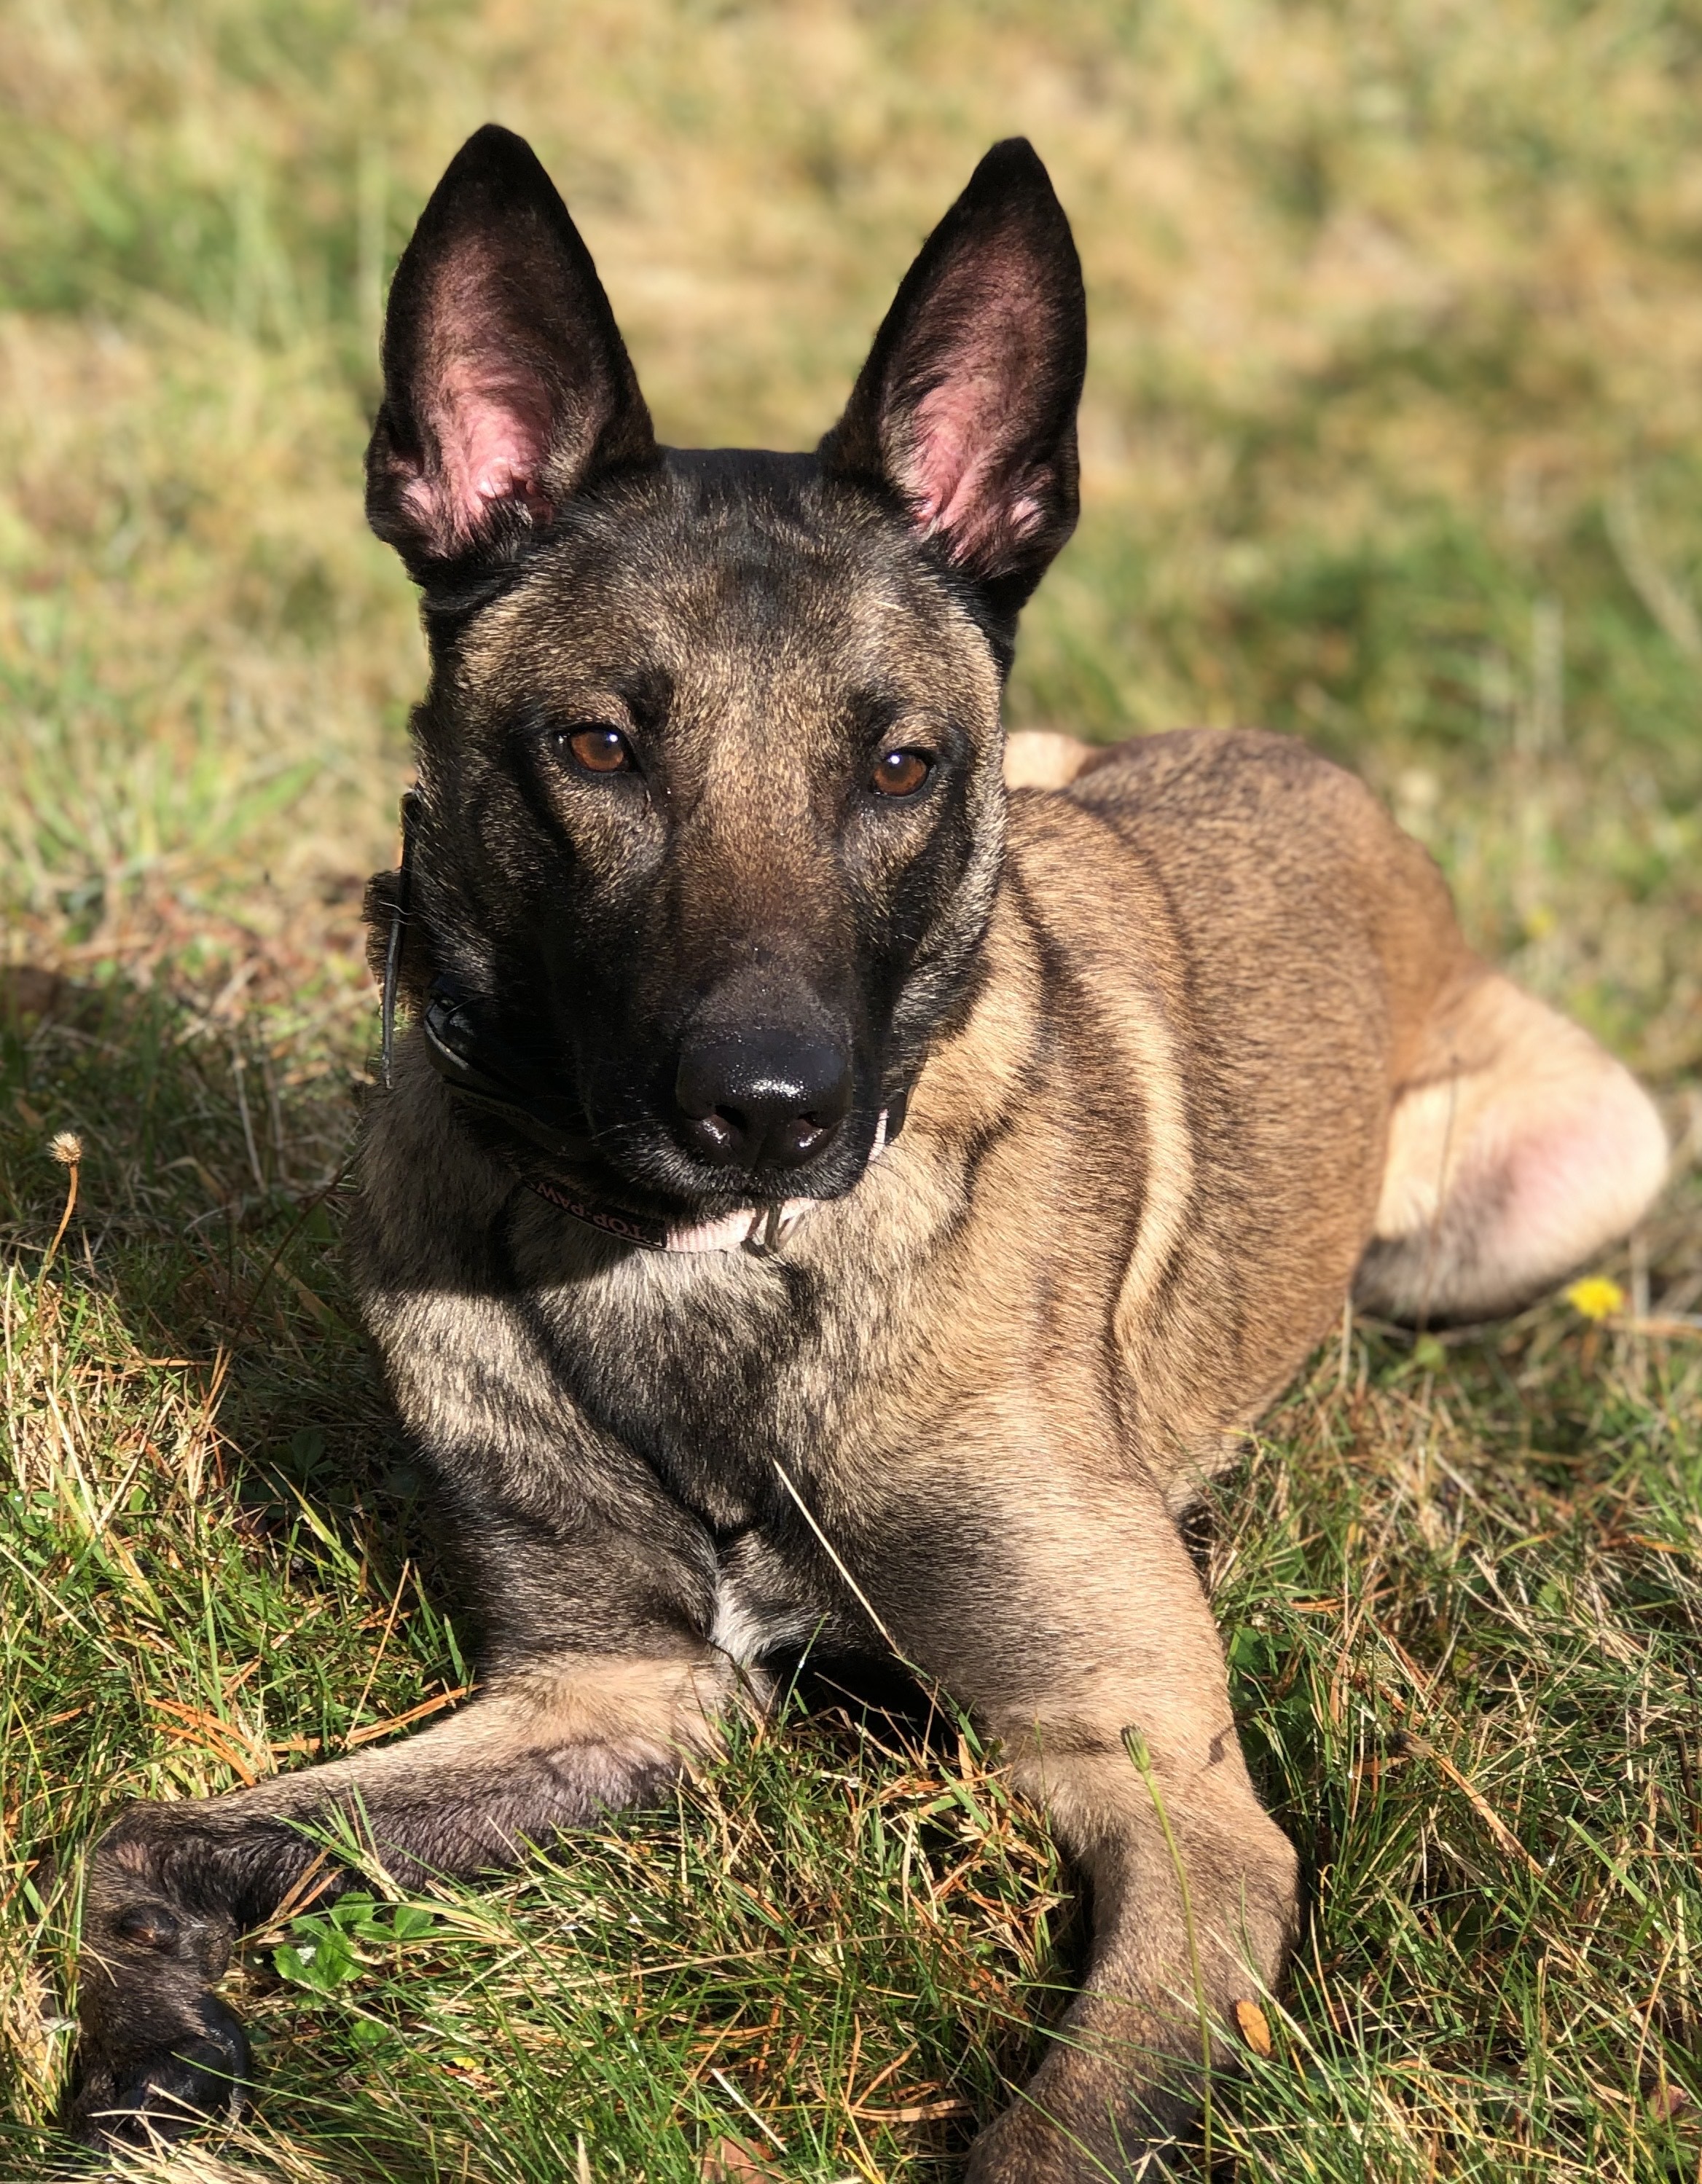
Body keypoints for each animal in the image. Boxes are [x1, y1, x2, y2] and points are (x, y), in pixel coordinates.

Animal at [60, 127, 1669, 2175]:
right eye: (596, 746)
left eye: (898, 766)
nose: (769, 1111)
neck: (701, 1276)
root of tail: (1325, 772)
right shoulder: (611, 1693)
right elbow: (151, 1834)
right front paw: (150, 2045)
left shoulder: (1163, 1793)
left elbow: (1052, 2134)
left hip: (1571, 1171)